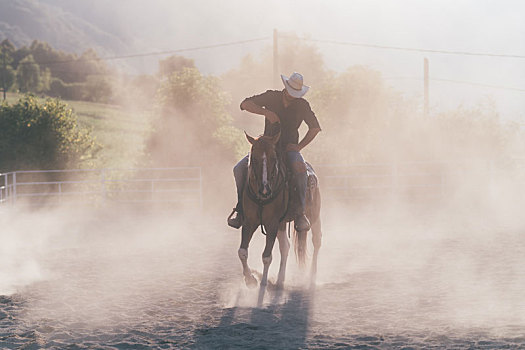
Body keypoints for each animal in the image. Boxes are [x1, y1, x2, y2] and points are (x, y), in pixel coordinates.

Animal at [236, 132, 320, 290]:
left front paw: (263, 283)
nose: (265, 190)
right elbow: (242, 252)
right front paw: (250, 280)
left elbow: (266, 256)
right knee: (285, 247)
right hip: (282, 223)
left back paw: (312, 277)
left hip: (314, 215)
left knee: (317, 241)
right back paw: (280, 280)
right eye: (254, 158)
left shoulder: (272, 223)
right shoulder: (250, 222)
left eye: (273, 158)